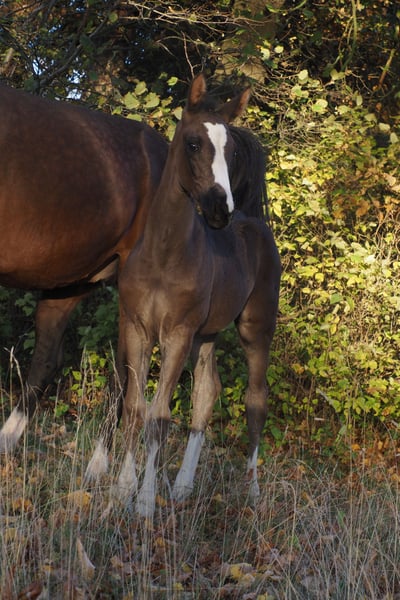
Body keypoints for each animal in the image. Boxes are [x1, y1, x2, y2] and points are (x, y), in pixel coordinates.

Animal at [90, 74, 281, 517]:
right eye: (193, 143)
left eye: (231, 150)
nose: (219, 208)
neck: (164, 253)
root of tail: (253, 222)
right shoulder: (139, 329)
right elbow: (135, 408)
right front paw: (123, 490)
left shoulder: (176, 333)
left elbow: (159, 416)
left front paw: (145, 502)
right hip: (206, 335)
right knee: (206, 392)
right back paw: (182, 487)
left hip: (254, 329)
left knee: (256, 400)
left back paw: (252, 492)